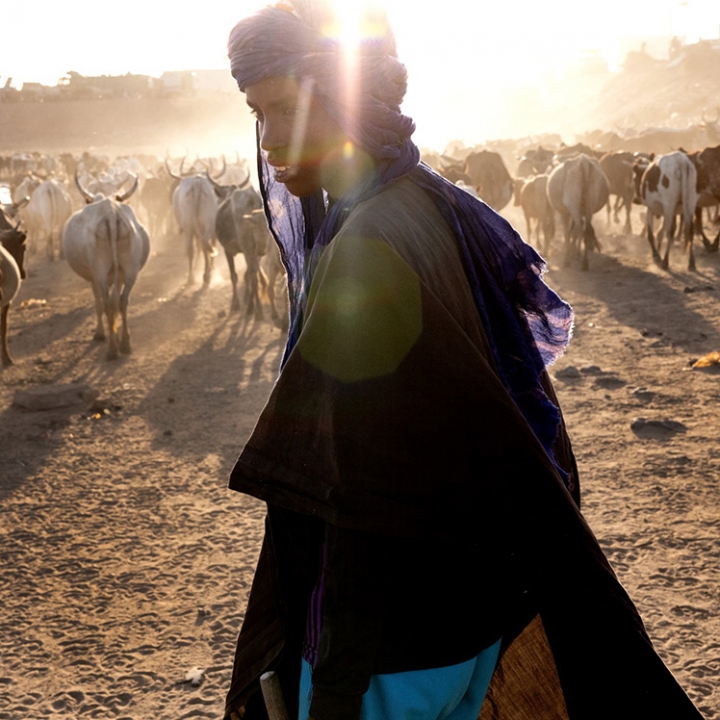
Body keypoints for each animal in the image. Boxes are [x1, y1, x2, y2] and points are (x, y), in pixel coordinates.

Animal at [64, 169, 150, 360]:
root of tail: (111, 213)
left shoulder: (94, 278)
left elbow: (99, 304)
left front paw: (100, 334)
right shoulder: (119, 275)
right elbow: (116, 300)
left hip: (100, 272)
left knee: (108, 305)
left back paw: (112, 350)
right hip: (130, 270)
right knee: (122, 301)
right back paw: (125, 343)